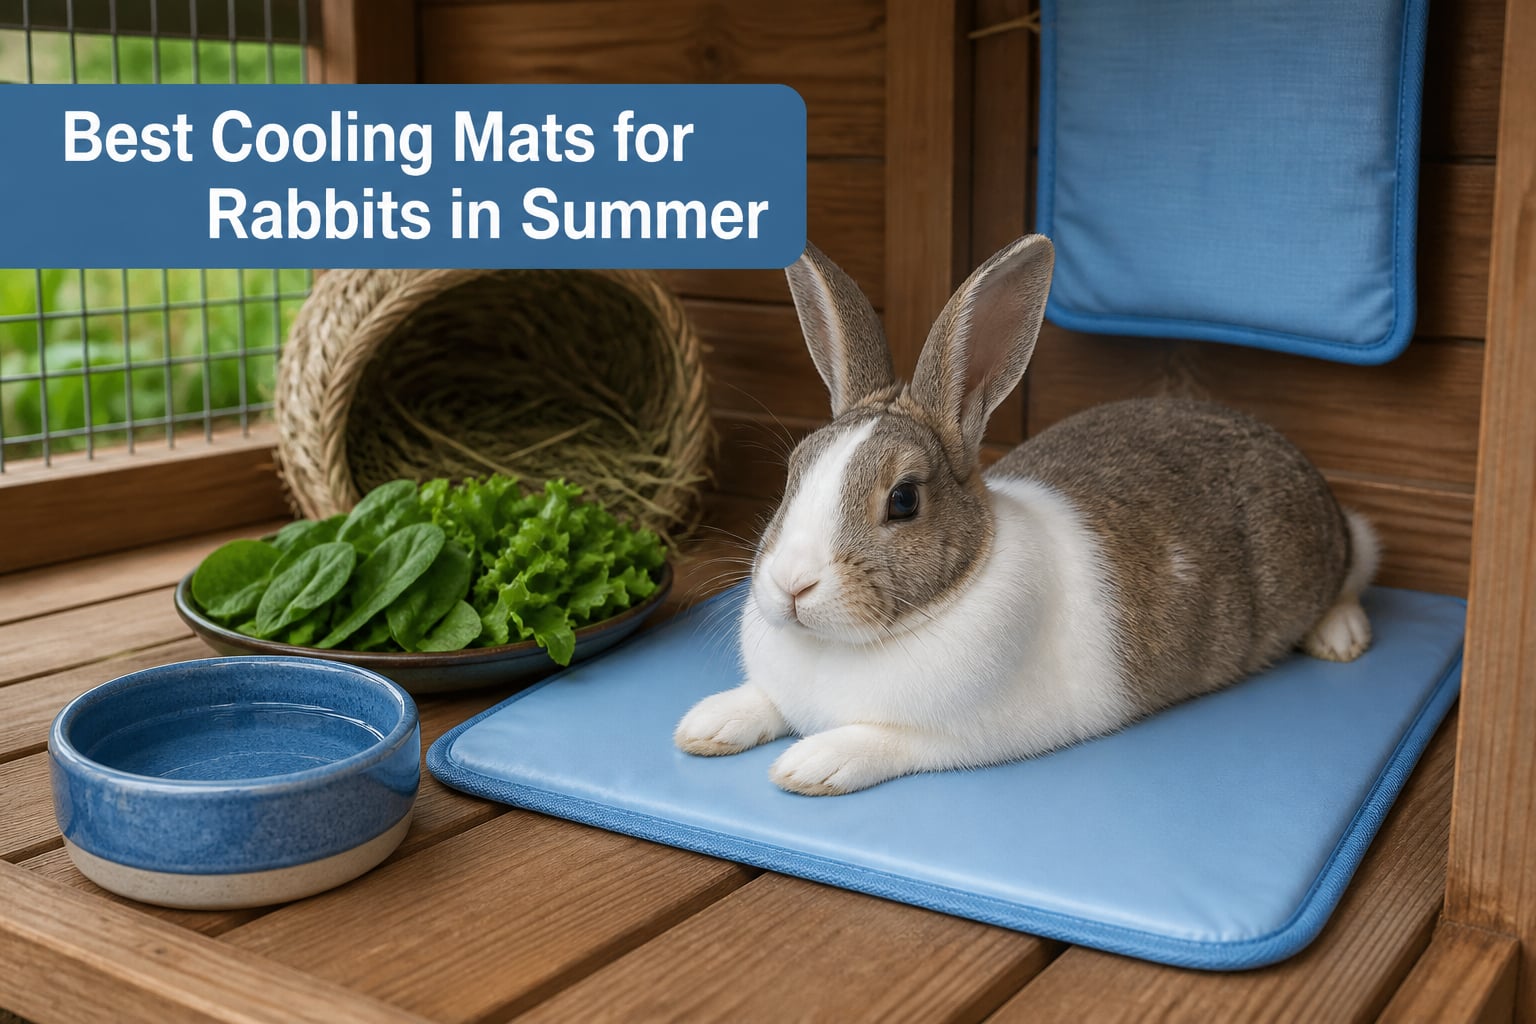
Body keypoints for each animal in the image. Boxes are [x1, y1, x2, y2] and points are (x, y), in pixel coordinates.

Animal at [674, 234, 1381, 796]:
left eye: (903, 500)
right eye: (794, 471)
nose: (792, 585)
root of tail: (1282, 444)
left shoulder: (958, 737)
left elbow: (881, 740)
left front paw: (812, 764)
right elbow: (764, 701)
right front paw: (706, 724)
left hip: (1324, 554)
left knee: (1357, 565)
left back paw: (1341, 639)